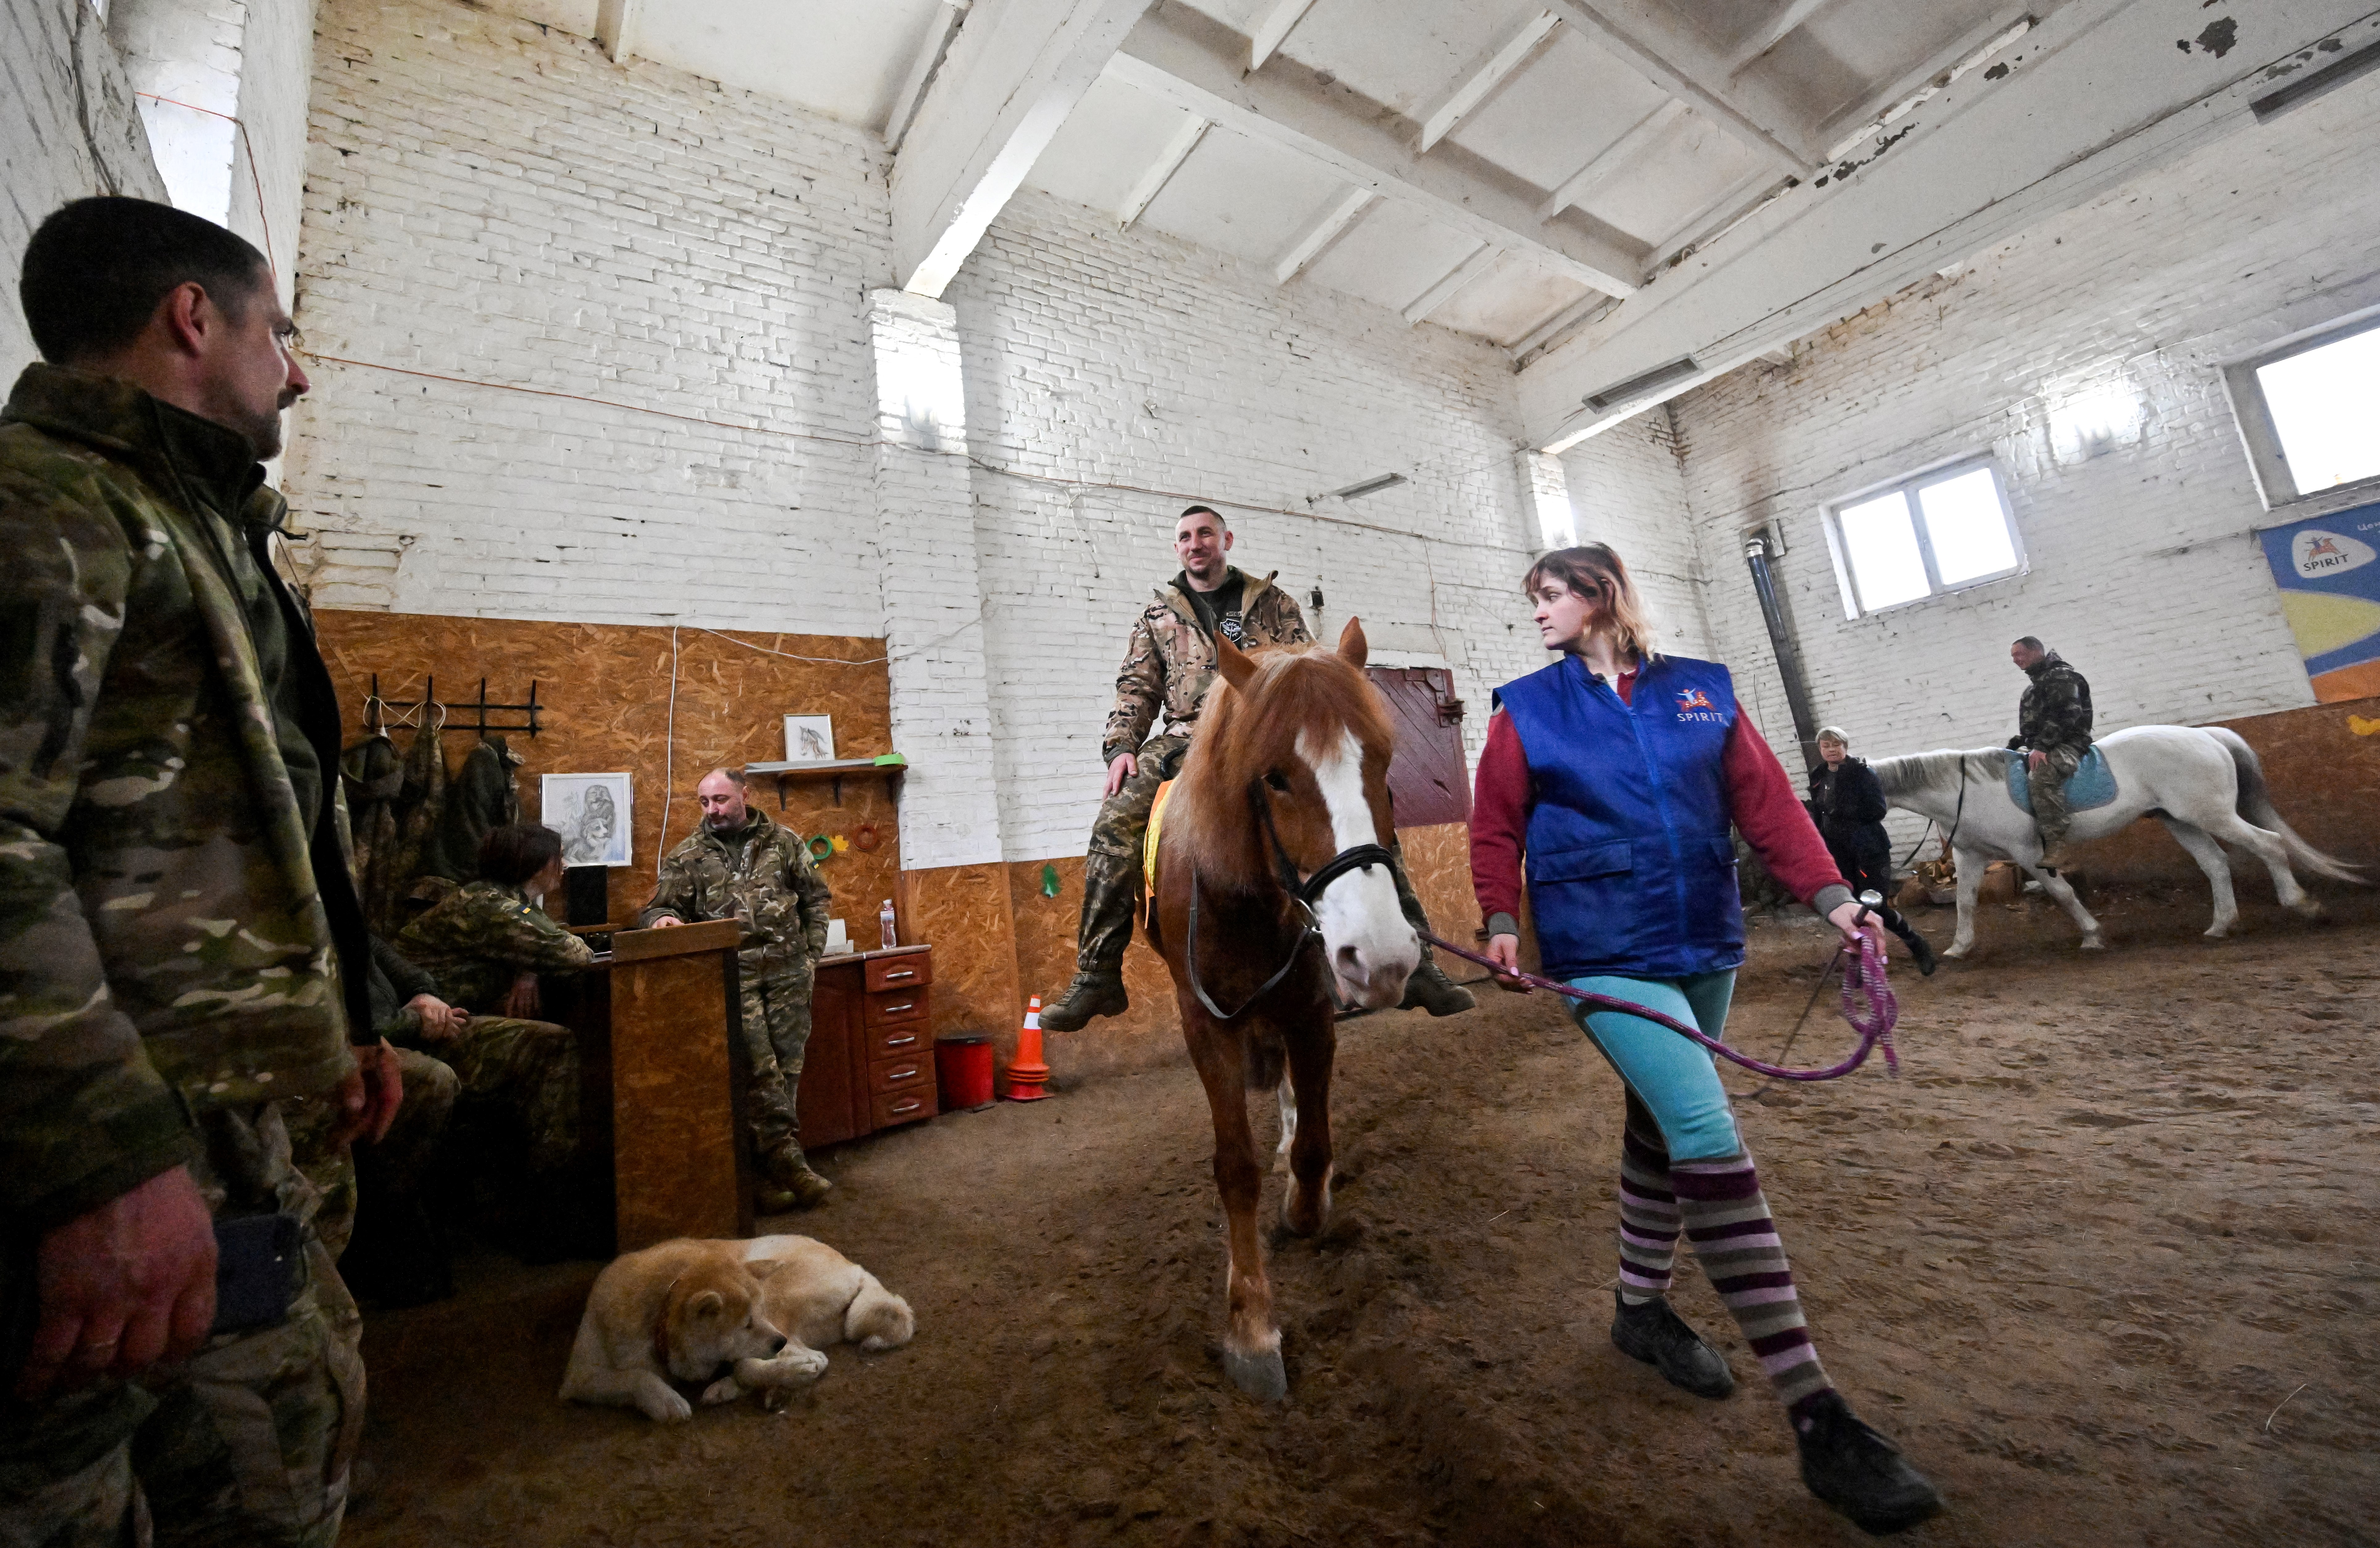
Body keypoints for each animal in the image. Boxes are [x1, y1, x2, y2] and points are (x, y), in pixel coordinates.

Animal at [1148, 617, 1419, 1401]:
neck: (1247, 901)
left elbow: (1315, 1143)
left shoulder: (1311, 1009)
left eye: (1380, 760)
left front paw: (1306, 1203)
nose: (1381, 955)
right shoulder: (1205, 1024)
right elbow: (1235, 1167)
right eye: (1273, 776)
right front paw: (1250, 1328)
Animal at [1870, 725, 2361, 957]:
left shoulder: (2028, 853)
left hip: (2212, 815)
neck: (1963, 788)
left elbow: (2061, 892)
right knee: (2216, 864)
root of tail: (2205, 735)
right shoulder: (1971, 855)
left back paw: (2303, 905)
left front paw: (2092, 936)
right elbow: (1965, 903)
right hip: (2181, 820)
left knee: (2269, 844)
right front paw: (1959, 947)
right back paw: (2221, 926)